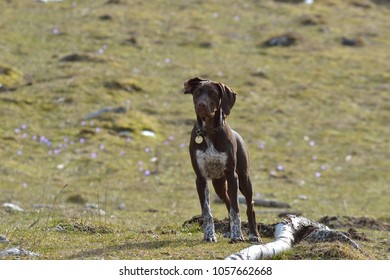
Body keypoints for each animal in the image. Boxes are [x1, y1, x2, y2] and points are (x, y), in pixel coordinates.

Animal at [184, 77, 260, 243]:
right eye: (197, 92)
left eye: (213, 93)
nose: (201, 105)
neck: (209, 131)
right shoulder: (201, 179)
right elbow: (207, 211)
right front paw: (209, 235)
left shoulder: (232, 176)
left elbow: (236, 209)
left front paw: (237, 235)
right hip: (219, 184)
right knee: (227, 202)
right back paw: (228, 232)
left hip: (244, 180)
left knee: (249, 207)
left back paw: (253, 235)